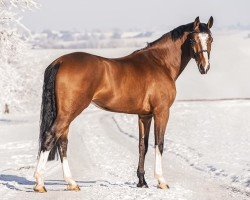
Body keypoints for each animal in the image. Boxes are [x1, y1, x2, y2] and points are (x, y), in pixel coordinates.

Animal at [34, 16, 214, 192]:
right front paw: (161, 181)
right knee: (50, 136)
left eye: (210, 39)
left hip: (66, 112)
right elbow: (159, 143)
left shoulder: (144, 115)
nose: (204, 67)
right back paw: (40, 183)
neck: (160, 63)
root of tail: (60, 62)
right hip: (69, 111)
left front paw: (142, 182)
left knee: (62, 142)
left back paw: (71, 183)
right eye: (193, 40)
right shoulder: (161, 112)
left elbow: (143, 145)